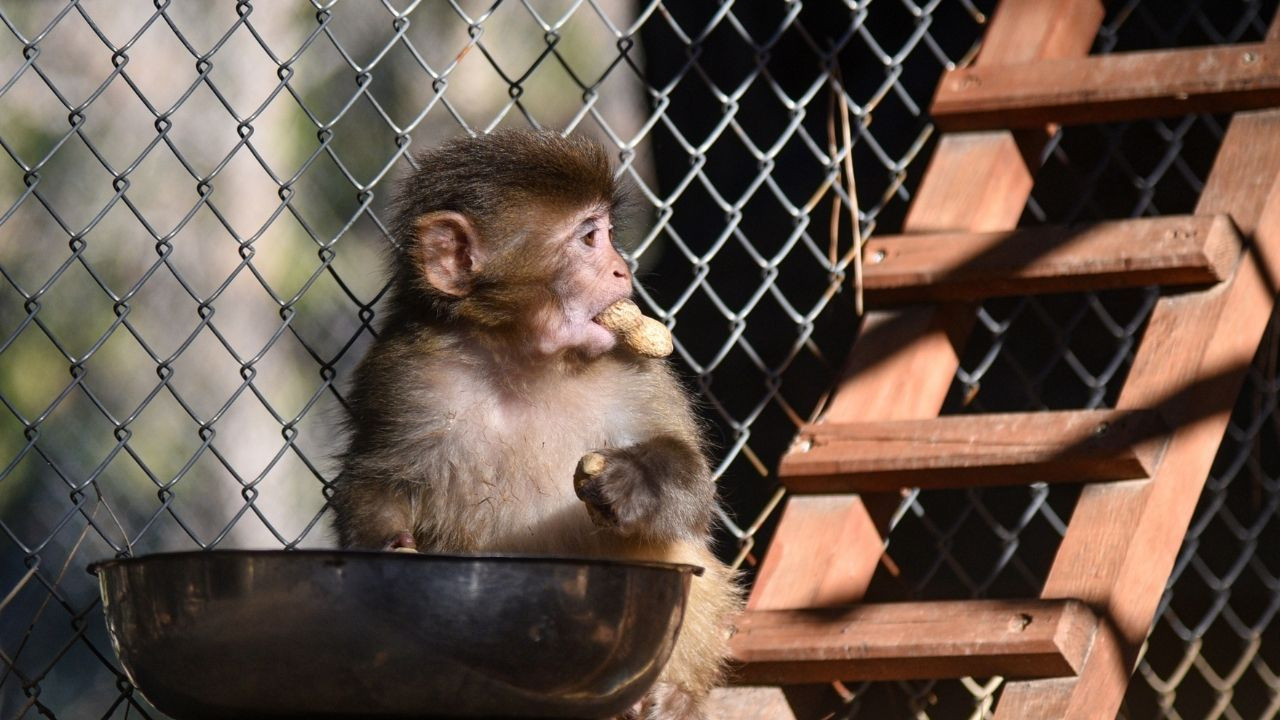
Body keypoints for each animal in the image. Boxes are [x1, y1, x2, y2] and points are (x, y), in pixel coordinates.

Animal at [332, 130, 742, 717]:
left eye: (607, 234)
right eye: (590, 238)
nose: (623, 269)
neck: (521, 361)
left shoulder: (637, 367)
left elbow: (694, 493)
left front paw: (636, 480)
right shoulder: (402, 372)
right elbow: (375, 477)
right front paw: (386, 549)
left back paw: (668, 696)